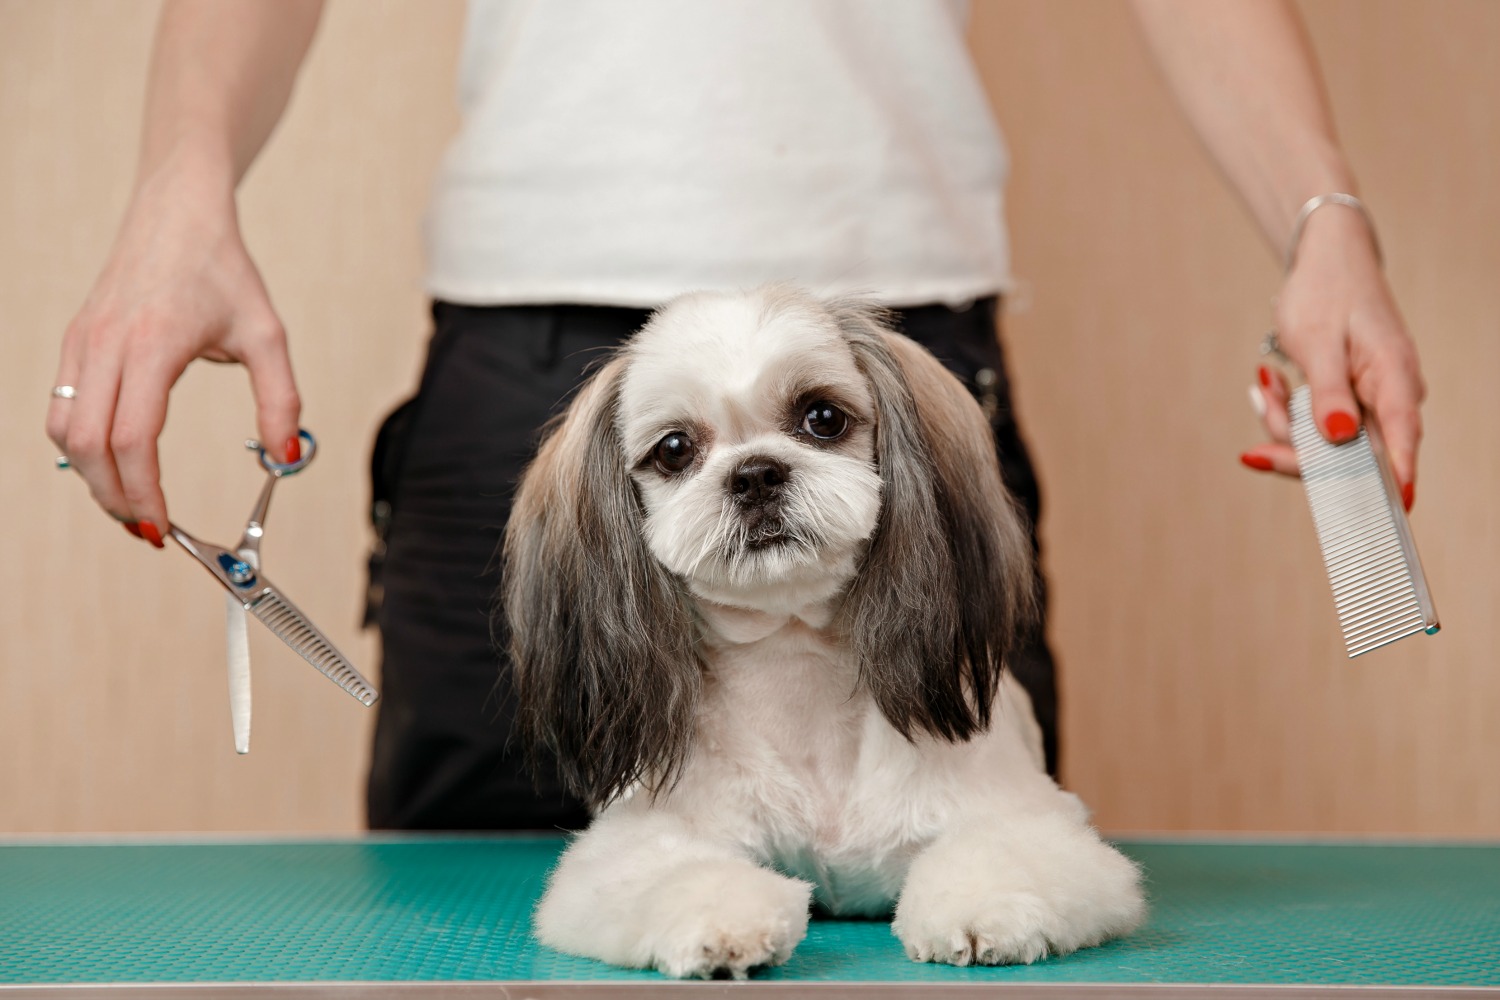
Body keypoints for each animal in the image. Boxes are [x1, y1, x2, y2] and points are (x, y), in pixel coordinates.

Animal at [498, 287, 1140, 977]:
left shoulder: (1025, 818)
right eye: (673, 449)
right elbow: (673, 874)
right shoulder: (632, 847)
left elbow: (1000, 851)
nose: (755, 473)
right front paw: (722, 923)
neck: (795, 662)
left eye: (823, 417)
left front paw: (980, 908)